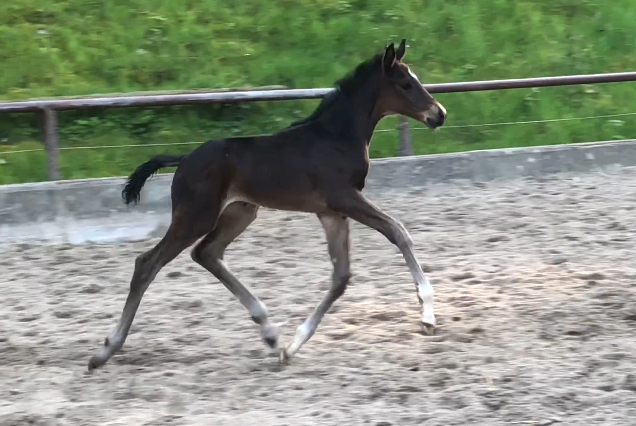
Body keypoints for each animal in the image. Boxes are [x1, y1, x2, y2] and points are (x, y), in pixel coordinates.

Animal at [88, 40, 448, 372]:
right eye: (405, 84)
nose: (439, 114)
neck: (336, 137)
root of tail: (185, 158)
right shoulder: (344, 198)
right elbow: (398, 232)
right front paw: (427, 314)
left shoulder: (330, 212)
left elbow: (341, 276)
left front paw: (291, 346)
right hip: (196, 217)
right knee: (147, 264)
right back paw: (105, 350)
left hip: (240, 212)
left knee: (206, 253)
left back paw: (271, 333)